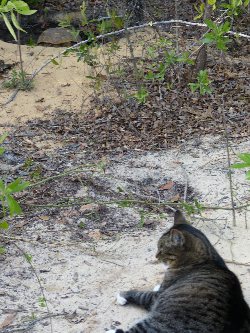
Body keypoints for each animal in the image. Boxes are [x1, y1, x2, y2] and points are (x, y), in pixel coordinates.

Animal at [106, 210, 250, 332]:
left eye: (161, 248)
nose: (156, 256)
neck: (205, 259)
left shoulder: (156, 296)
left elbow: (140, 294)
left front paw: (122, 295)